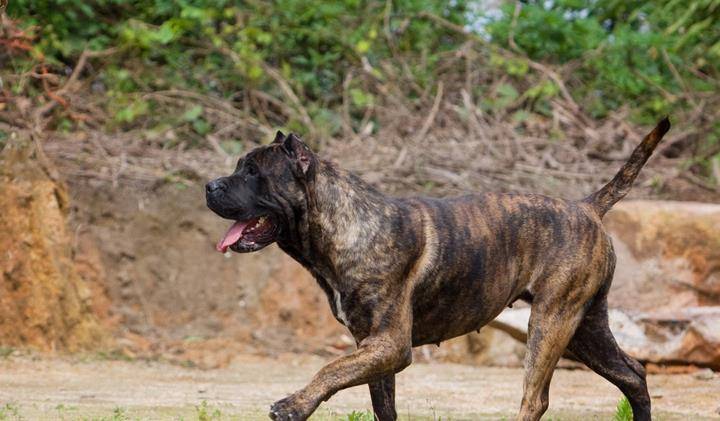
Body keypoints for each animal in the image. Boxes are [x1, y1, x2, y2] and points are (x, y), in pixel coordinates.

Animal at [205, 117, 672, 420]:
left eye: (252, 172)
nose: (210, 185)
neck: (342, 226)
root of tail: (587, 207)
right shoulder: (373, 348)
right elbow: (380, 403)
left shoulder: (389, 344)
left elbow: (330, 369)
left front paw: (293, 405)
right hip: (585, 328)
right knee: (633, 374)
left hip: (552, 323)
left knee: (535, 398)